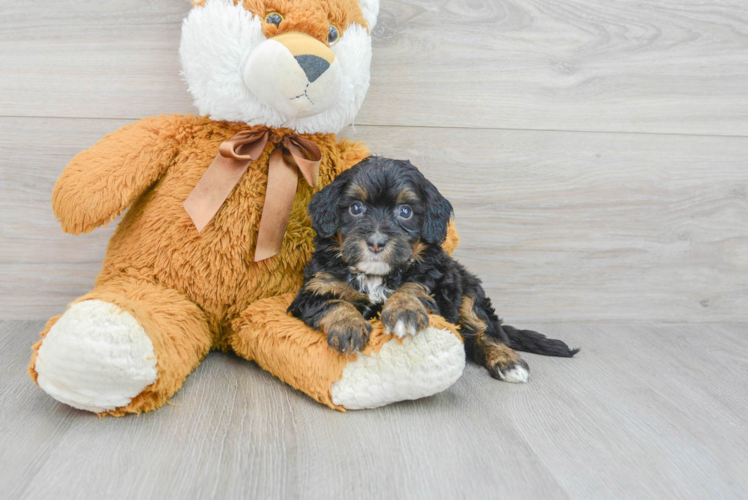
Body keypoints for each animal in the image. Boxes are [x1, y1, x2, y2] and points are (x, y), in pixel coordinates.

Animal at [288, 157, 580, 382]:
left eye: (405, 211)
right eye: (356, 208)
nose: (376, 242)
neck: (375, 275)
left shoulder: (435, 283)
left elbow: (413, 289)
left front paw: (404, 311)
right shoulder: (313, 289)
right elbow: (334, 303)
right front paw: (348, 326)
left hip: (468, 292)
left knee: (487, 332)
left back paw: (508, 362)